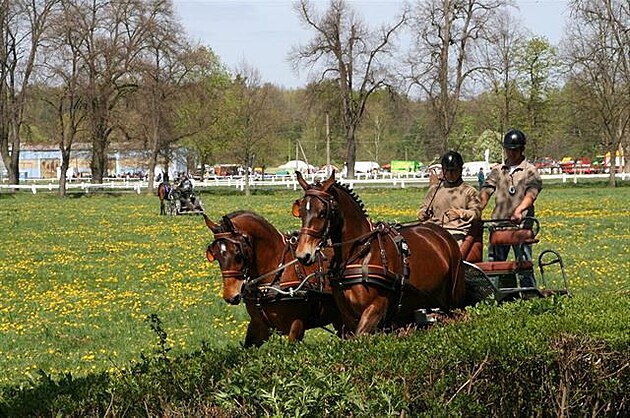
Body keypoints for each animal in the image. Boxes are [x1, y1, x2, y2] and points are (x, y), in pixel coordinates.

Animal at [292, 171, 474, 334]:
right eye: (301, 213)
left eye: (323, 212)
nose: (303, 254)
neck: (360, 254)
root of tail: (442, 233)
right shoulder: (348, 316)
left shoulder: (376, 308)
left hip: (454, 301)